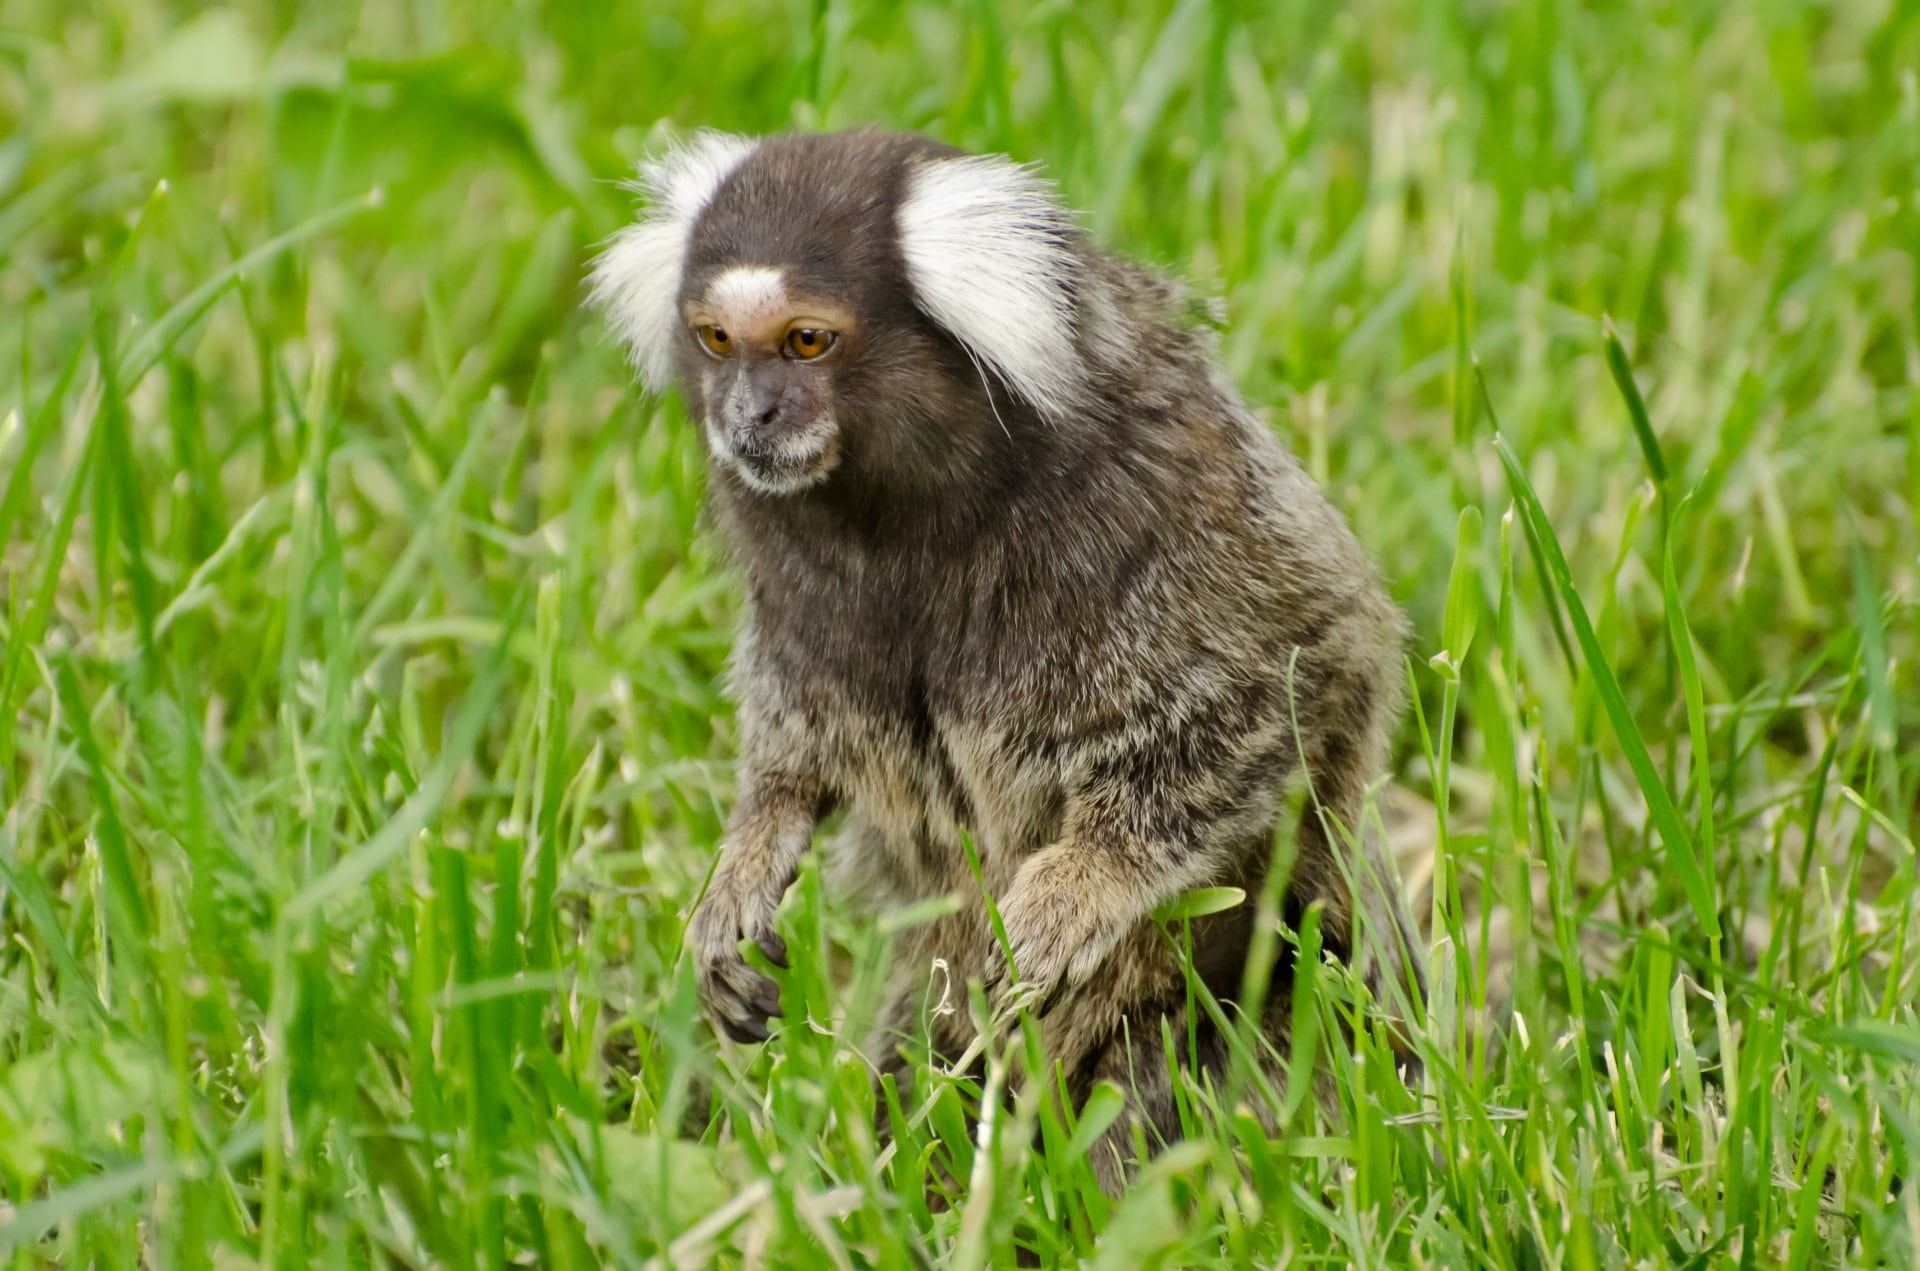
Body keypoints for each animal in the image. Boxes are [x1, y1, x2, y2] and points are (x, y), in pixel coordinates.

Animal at [590, 128, 1426, 1193]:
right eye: (717, 341)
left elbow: (1284, 687)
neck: (901, 513)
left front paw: (1072, 896)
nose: (749, 416)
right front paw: (741, 875)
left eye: (807, 341)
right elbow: (797, 758)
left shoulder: (1153, 505)